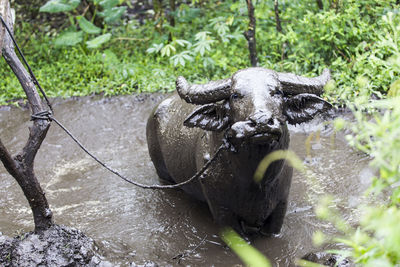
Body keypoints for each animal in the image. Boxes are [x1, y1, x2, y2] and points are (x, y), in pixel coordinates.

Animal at [147, 68, 332, 236]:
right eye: (235, 95)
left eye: (277, 92)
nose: (261, 122)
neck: (256, 179)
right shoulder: (222, 211)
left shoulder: (280, 206)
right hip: (162, 172)